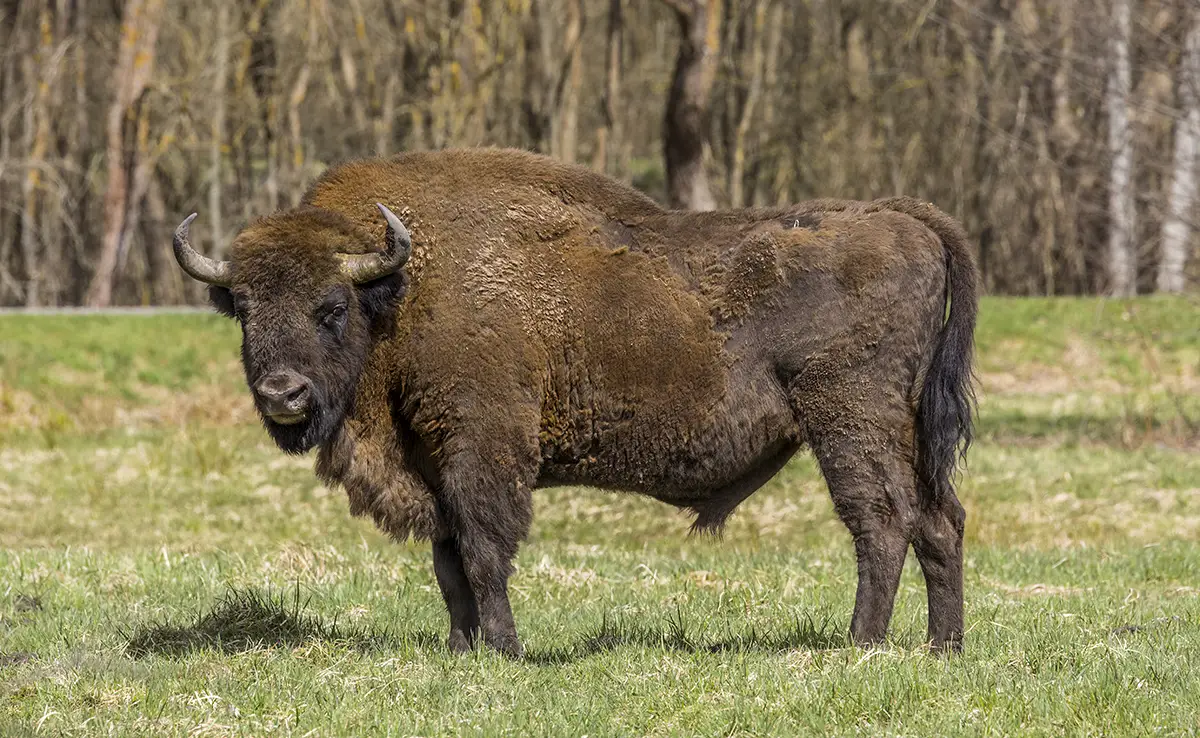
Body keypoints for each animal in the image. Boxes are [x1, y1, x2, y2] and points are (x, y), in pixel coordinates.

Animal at [171, 147, 974, 657]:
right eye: (243, 307)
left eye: (331, 307)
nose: (282, 394)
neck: (403, 288)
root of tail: (899, 218)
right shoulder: (432, 462)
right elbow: (448, 562)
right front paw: (461, 652)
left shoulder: (480, 450)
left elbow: (484, 551)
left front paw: (506, 650)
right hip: (905, 428)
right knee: (940, 520)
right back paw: (943, 648)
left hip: (849, 421)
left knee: (881, 521)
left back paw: (861, 644)